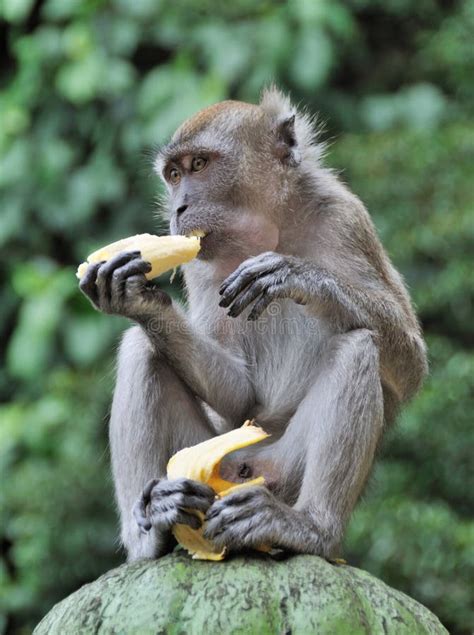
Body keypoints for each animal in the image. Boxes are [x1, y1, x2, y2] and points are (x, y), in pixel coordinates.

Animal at [79, 88, 428, 560]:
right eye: (173, 174)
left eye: (199, 165)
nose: (179, 208)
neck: (273, 230)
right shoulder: (201, 267)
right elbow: (240, 395)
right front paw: (138, 299)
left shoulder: (345, 218)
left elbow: (411, 367)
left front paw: (299, 276)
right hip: (210, 458)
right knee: (141, 349)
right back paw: (153, 531)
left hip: (283, 470)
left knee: (358, 345)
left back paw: (309, 527)